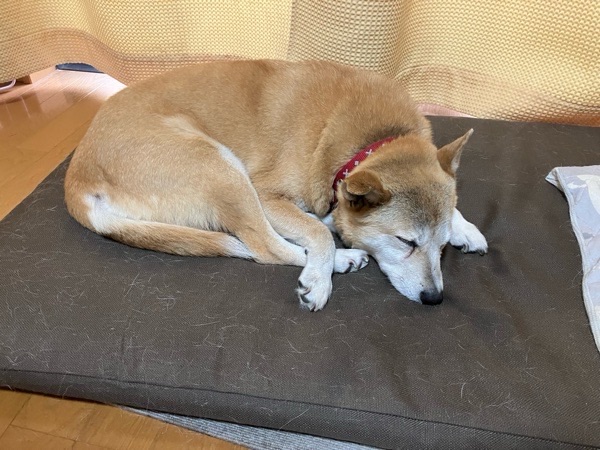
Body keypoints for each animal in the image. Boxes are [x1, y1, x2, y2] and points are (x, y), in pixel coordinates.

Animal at [64, 60, 488, 311]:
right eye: (405, 242)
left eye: (442, 246)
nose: (435, 298)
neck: (373, 140)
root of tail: (77, 173)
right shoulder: (268, 194)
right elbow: (316, 232)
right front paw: (319, 277)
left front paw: (466, 228)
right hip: (219, 166)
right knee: (264, 246)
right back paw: (340, 260)